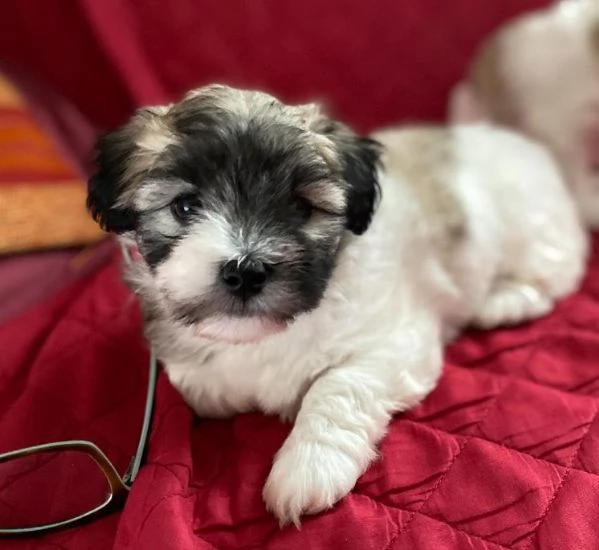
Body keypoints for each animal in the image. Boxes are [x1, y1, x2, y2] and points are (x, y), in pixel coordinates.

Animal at [86, 85, 588, 528]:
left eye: (301, 208)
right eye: (186, 207)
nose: (246, 270)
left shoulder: (393, 343)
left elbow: (337, 385)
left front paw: (308, 466)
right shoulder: (198, 378)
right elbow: (200, 388)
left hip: (532, 233)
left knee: (553, 276)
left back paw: (502, 301)